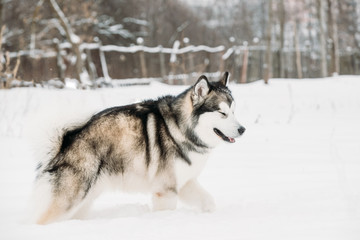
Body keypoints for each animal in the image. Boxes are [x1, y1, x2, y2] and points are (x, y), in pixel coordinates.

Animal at [30, 72, 245, 224]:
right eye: (222, 113)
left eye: (234, 111)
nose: (242, 129)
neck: (180, 128)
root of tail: (64, 142)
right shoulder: (166, 190)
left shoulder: (184, 182)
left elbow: (208, 202)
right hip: (70, 199)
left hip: (84, 200)